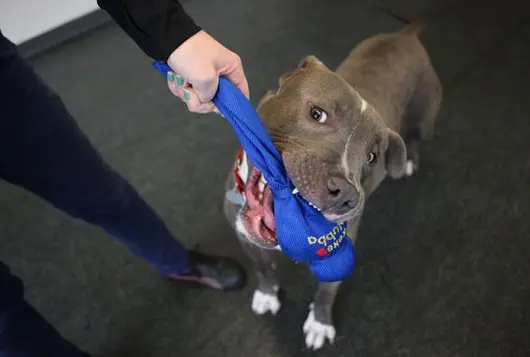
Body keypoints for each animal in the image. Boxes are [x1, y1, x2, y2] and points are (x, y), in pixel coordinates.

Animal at [221, 20, 440, 350]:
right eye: (317, 114)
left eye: (372, 157)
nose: (347, 196)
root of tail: (406, 36)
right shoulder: (244, 235)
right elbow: (262, 267)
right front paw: (267, 294)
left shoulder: (339, 254)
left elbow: (326, 292)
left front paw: (320, 324)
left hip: (424, 114)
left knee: (414, 136)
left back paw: (409, 161)